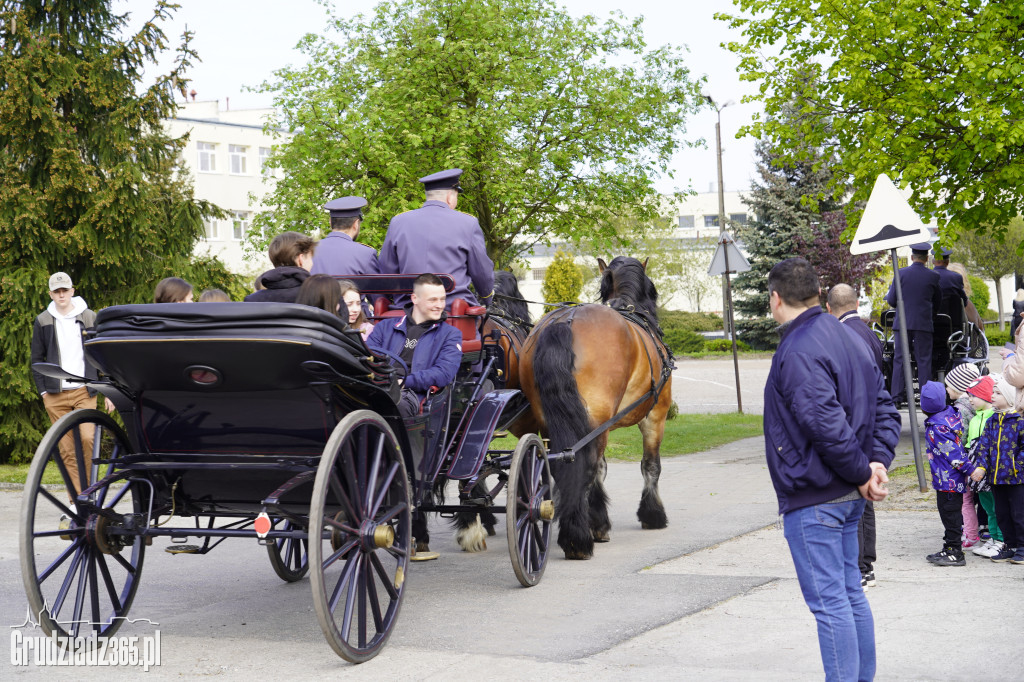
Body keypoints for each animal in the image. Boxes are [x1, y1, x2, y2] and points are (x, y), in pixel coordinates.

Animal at [520, 254, 671, 557]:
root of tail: (565, 321)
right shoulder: (655, 416)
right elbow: (650, 465)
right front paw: (652, 514)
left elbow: (602, 468)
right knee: (585, 466)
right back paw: (578, 537)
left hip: (554, 421)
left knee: (563, 466)